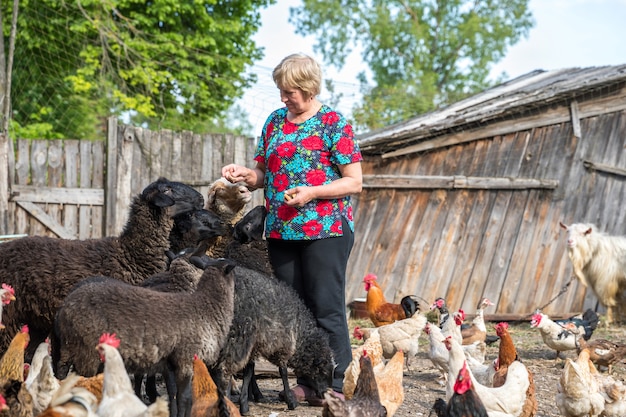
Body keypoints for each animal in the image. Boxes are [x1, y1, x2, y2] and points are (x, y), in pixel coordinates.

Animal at [50, 256, 236, 416]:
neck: (207, 306)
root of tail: (64, 308)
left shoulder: (172, 363)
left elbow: (175, 395)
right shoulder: (186, 359)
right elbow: (185, 398)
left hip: (69, 346)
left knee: (62, 371)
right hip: (86, 351)